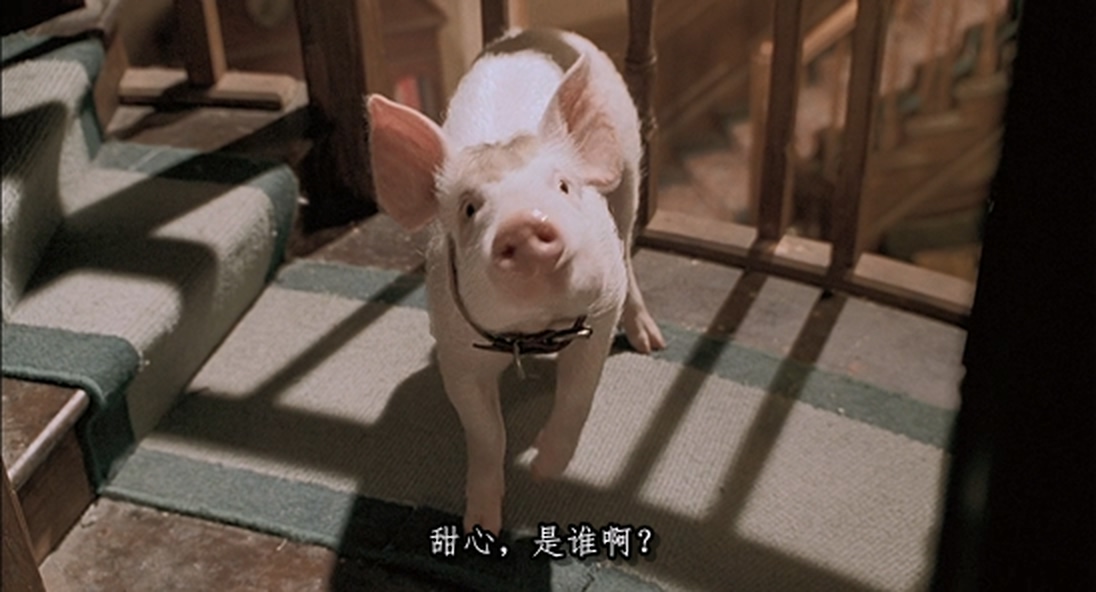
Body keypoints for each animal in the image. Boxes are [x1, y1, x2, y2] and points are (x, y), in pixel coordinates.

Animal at [365, 28, 665, 534]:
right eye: (469, 208)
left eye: (563, 186)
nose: (525, 224)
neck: (532, 331)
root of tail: (535, 33)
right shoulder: (454, 346)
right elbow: (486, 433)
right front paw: (481, 527)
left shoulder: (601, 312)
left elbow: (578, 396)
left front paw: (544, 472)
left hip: (628, 174)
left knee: (628, 244)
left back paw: (651, 344)